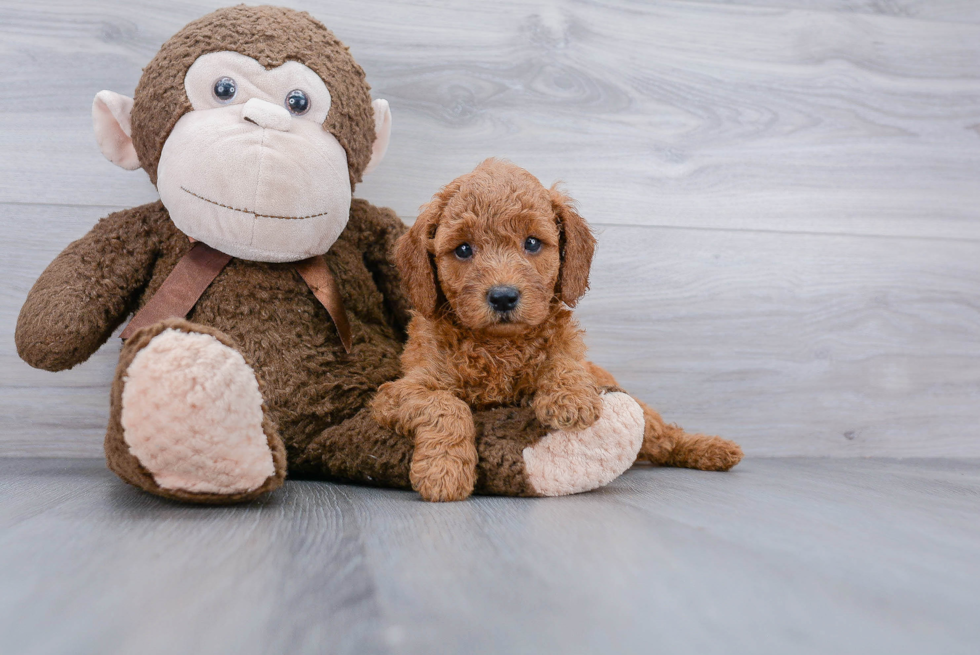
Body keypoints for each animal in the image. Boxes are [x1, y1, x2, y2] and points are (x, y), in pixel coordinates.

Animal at [372, 160, 740, 502]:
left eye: (533, 243)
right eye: (463, 249)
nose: (503, 296)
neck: (499, 346)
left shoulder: (570, 355)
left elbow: (564, 362)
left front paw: (570, 398)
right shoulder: (399, 392)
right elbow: (445, 405)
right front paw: (444, 472)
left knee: (664, 436)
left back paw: (713, 449)